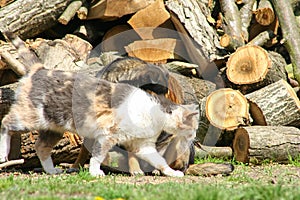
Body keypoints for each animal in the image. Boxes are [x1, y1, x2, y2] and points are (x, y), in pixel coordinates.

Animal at [0, 33, 199, 177]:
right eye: (158, 92)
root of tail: (39, 69)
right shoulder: (106, 135)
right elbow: (96, 155)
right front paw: (94, 171)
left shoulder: (142, 145)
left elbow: (158, 160)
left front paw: (169, 172)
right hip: (30, 117)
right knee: (6, 122)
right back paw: (4, 152)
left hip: (53, 128)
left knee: (40, 146)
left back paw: (50, 170)